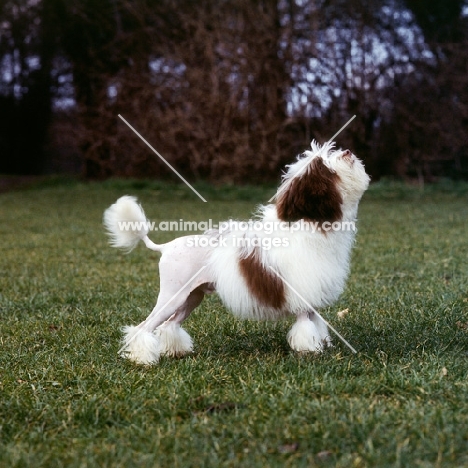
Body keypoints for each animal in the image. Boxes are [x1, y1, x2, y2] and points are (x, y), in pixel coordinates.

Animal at [104, 141, 372, 364]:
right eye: (324, 166)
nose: (348, 152)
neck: (311, 224)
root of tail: (167, 246)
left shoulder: (312, 294)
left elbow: (317, 323)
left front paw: (322, 344)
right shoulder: (301, 295)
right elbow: (306, 326)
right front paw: (309, 350)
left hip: (191, 297)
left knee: (170, 325)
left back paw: (176, 350)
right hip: (173, 295)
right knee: (145, 326)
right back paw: (142, 359)